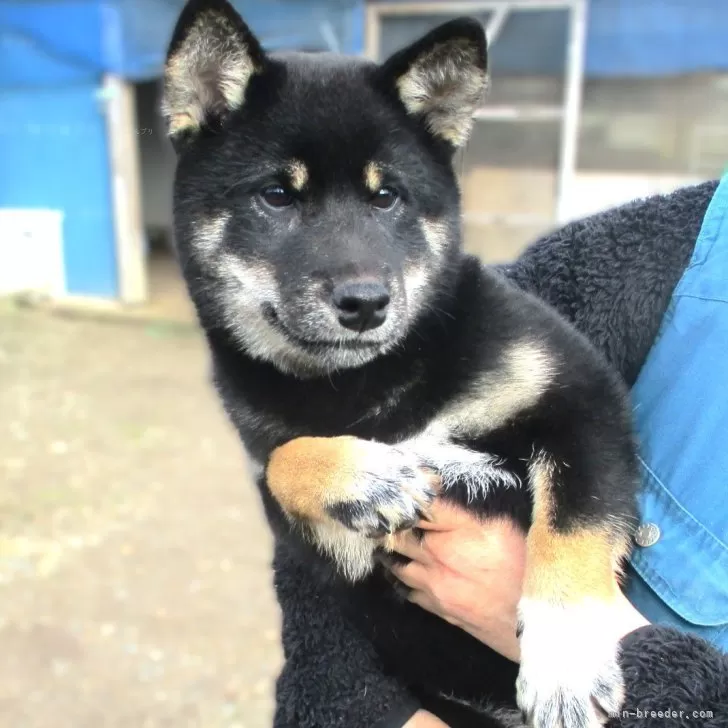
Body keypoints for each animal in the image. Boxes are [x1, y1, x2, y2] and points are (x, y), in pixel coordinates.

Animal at [162, 2, 640, 724]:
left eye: (387, 197)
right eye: (277, 195)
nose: (365, 303)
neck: (372, 383)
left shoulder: (576, 395)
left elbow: (573, 524)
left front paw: (566, 662)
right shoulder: (345, 558)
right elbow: (281, 462)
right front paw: (366, 476)